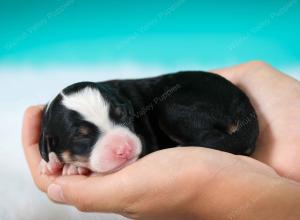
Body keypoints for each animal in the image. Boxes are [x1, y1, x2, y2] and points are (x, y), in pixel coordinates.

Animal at [38, 72, 258, 175]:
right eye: (81, 136)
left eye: (124, 116)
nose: (124, 149)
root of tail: (242, 101)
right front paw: (51, 162)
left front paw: (71, 167)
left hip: (171, 107)